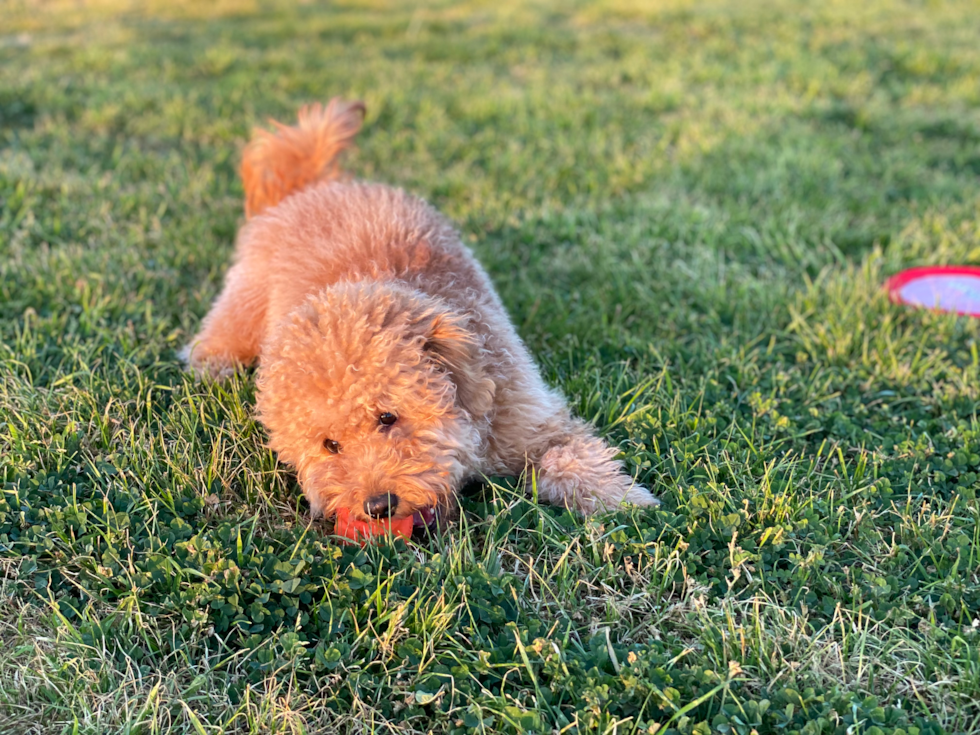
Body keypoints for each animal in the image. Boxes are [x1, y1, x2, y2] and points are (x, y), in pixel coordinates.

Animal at [184, 99, 660, 536]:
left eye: (387, 417)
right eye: (330, 444)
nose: (378, 506)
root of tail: (310, 189)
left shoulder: (534, 420)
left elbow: (573, 458)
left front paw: (625, 500)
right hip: (246, 303)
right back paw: (211, 367)